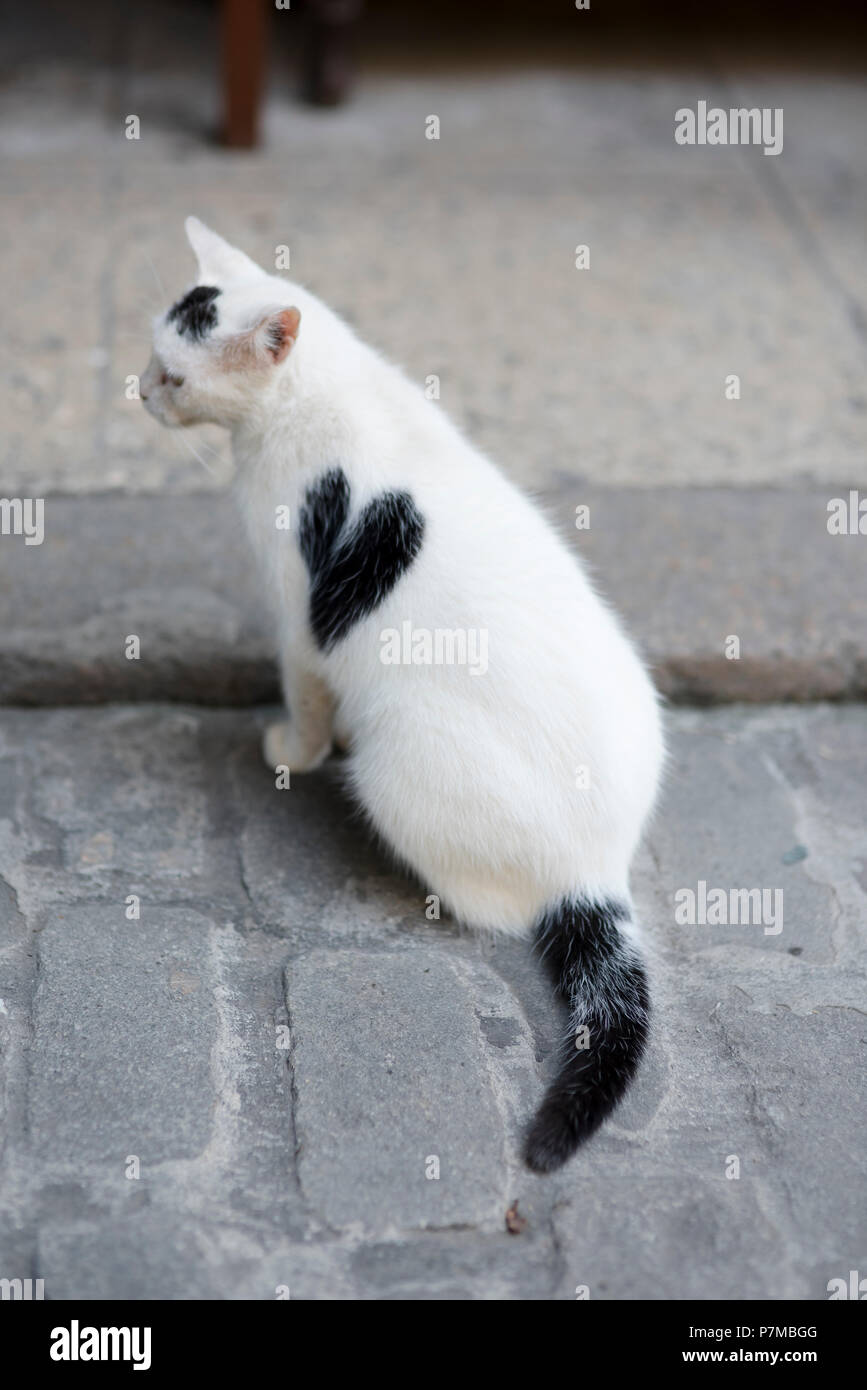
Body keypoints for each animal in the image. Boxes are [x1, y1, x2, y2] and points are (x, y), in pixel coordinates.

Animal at [140, 219, 664, 1173]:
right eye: (148, 357)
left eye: (178, 375)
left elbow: (306, 698)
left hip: (402, 762)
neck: (321, 395)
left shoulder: (300, 623)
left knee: (487, 905)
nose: (139, 391)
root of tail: (598, 866)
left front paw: (294, 750)